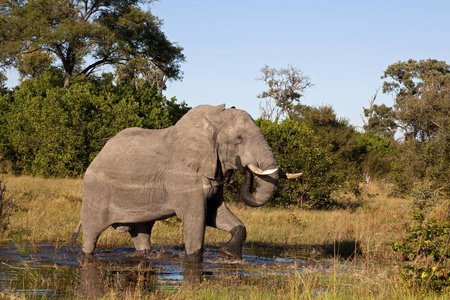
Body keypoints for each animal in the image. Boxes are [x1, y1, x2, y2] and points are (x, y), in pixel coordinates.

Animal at [72, 105, 300, 262]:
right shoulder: (182, 177)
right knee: (91, 234)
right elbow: (197, 218)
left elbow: (217, 214)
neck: (211, 121)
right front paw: (195, 261)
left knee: (141, 233)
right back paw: (87, 255)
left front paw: (228, 254)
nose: (243, 168)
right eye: (239, 137)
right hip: (95, 191)